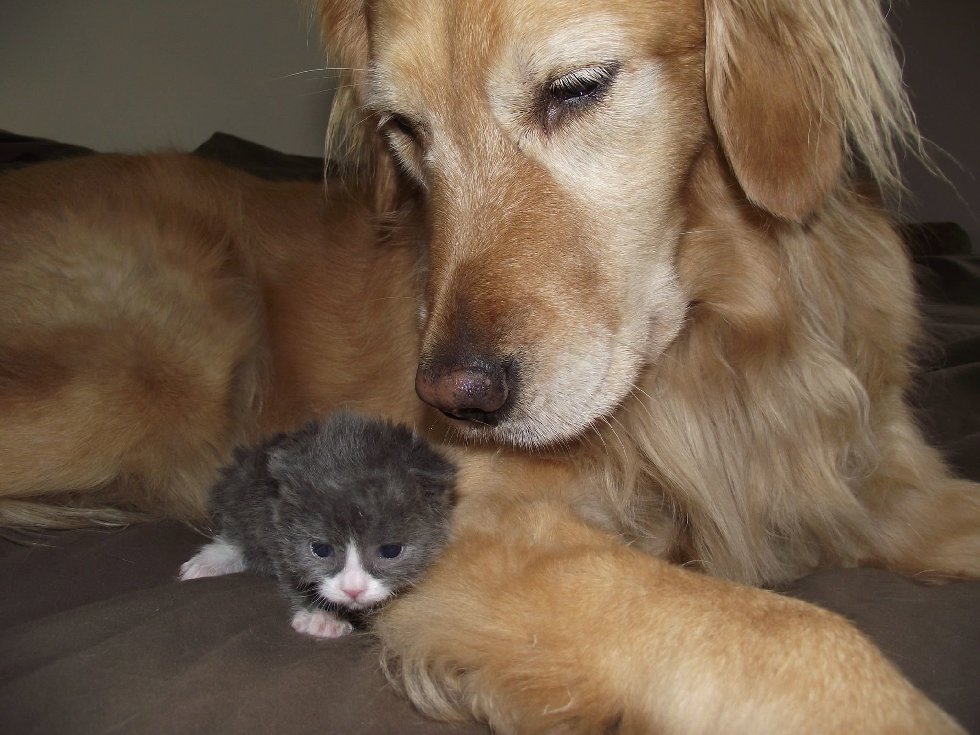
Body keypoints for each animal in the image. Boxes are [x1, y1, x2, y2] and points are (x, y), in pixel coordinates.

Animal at [178, 414, 458, 640]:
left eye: (390, 551)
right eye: (321, 550)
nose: (353, 589)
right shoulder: (274, 528)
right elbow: (291, 571)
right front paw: (321, 617)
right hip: (241, 490)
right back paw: (209, 562)